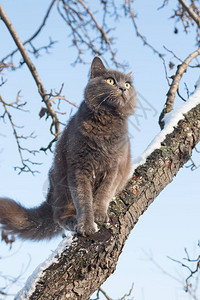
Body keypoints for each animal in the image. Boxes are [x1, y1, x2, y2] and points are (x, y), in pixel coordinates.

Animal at [0, 56, 136, 239]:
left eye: (127, 84)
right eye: (110, 81)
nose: (122, 88)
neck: (106, 123)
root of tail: (50, 195)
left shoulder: (114, 167)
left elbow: (104, 192)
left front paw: (99, 214)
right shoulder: (79, 167)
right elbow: (83, 200)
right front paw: (86, 225)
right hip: (62, 184)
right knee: (59, 216)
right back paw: (73, 222)